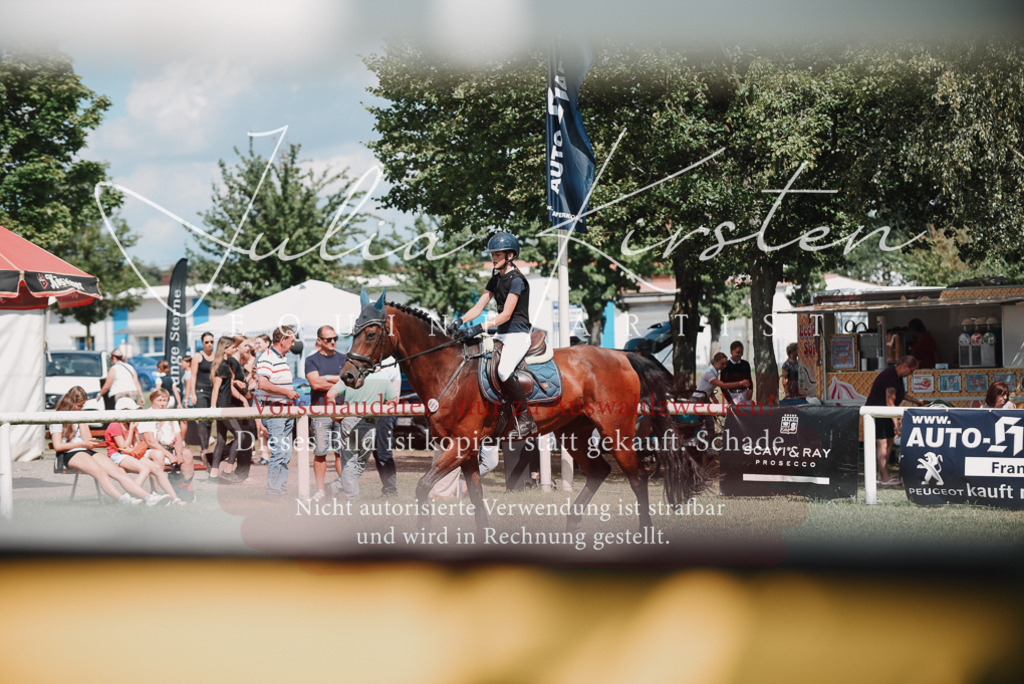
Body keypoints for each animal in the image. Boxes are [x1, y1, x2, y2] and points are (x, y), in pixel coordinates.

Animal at [340, 291, 708, 533]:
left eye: (370, 333)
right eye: (352, 331)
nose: (347, 376)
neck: (447, 370)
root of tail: (621, 356)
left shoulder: (460, 446)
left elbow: (422, 487)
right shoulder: (465, 449)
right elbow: (475, 496)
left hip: (616, 433)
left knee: (638, 477)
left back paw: (644, 531)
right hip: (574, 432)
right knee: (599, 471)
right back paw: (571, 525)